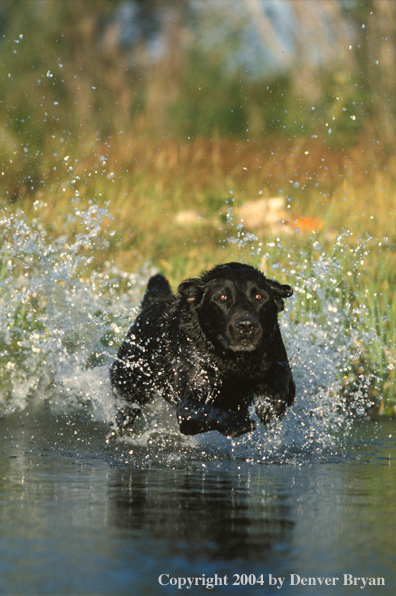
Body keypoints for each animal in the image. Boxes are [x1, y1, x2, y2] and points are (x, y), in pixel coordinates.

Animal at [110, 264, 296, 436]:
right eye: (222, 297)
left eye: (259, 296)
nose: (246, 326)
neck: (231, 360)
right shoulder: (187, 410)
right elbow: (209, 410)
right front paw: (234, 421)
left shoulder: (279, 362)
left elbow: (280, 374)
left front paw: (271, 404)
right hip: (129, 392)